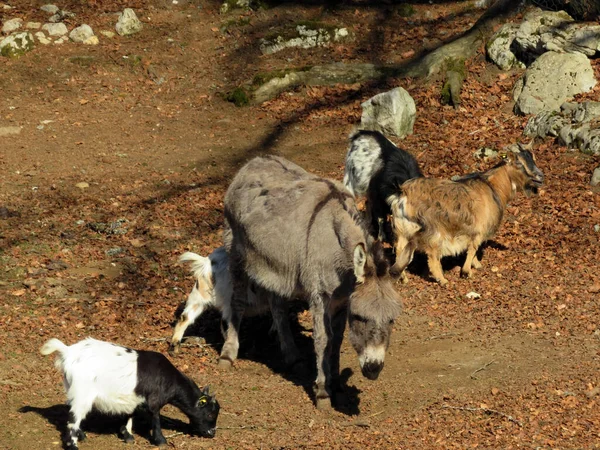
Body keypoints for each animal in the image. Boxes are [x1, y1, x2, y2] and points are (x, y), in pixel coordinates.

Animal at [41, 338, 220, 446]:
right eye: (210, 414)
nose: (212, 433)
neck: (169, 380)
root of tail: (68, 352)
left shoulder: (135, 398)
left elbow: (130, 413)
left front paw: (126, 434)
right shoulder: (154, 400)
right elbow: (155, 417)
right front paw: (161, 441)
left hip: (72, 389)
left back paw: (82, 435)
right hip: (83, 392)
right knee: (73, 418)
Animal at [386, 149, 548, 286]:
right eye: (519, 162)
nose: (540, 177)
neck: (492, 188)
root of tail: (403, 192)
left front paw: (476, 265)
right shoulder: (479, 230)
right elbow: (473, 248)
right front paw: (468, 271)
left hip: (402, 231)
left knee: (400, 252)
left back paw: (403, 278)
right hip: (433, 231)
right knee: (432, 256)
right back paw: (443, 280)